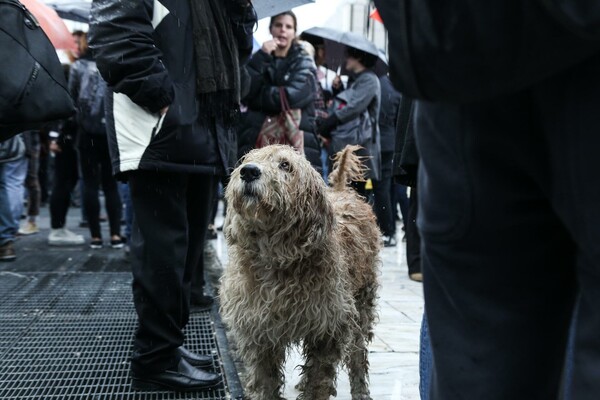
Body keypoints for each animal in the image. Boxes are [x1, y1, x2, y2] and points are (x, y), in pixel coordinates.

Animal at [220, 145, 380, 400]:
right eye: (248, 159)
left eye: (285, 165)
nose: (248, 171)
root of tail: (341, 191)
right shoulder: (258, 333)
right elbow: (265, 381)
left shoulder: (328, 328)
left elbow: (319, 379)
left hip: (362, 304)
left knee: (357, 354)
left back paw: (361, 391)